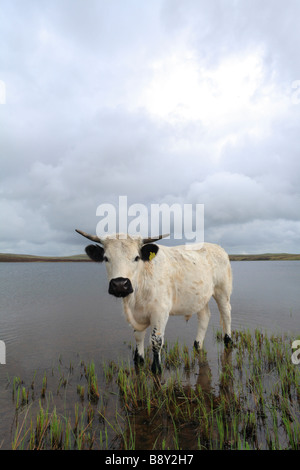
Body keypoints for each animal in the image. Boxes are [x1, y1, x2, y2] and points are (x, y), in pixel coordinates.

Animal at [76, 229, 233, 372]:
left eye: (136, 257)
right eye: (106, 258)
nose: (120, 284)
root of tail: (218, 247)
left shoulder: (160, 312)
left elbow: (156, 341)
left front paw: (156, 367)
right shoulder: (137, 315)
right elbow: (138, 336)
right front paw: (139, 359)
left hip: (222, 291)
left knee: (226, 314)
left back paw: (228, 340)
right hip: (201, 297)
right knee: (204, 317)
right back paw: (197, 344)